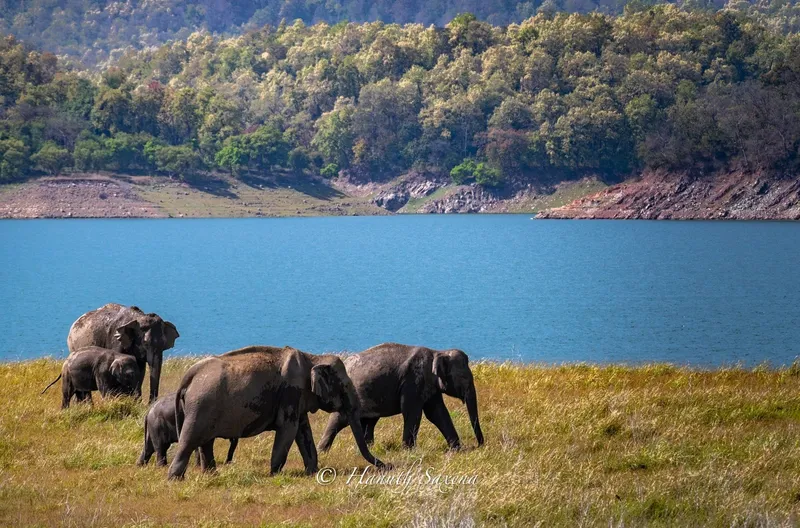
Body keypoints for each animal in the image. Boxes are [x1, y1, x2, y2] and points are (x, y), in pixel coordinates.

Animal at [166, 344, 388, 480]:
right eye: (345, 385)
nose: (388, 466)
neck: (312, 358)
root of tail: (188, 376)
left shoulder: (298, 398)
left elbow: (303, 431)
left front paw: (313, 472)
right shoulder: (291, 392)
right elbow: (288, 430)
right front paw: (274, 475)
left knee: (206, 443)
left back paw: (211, 475)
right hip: (200, 407)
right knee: (189, 440)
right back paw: (175, 480)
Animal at [318, 344, 482, 452]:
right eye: (463, 378)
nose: (479, 445)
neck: (437, 352)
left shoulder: (429, 386)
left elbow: (437, 413)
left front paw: (456, 449)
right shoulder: (413, 380)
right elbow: (412, 412)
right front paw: (408, 451)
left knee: (368, 422)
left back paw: (369, 449)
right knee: (339, 420)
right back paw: (323, 451)